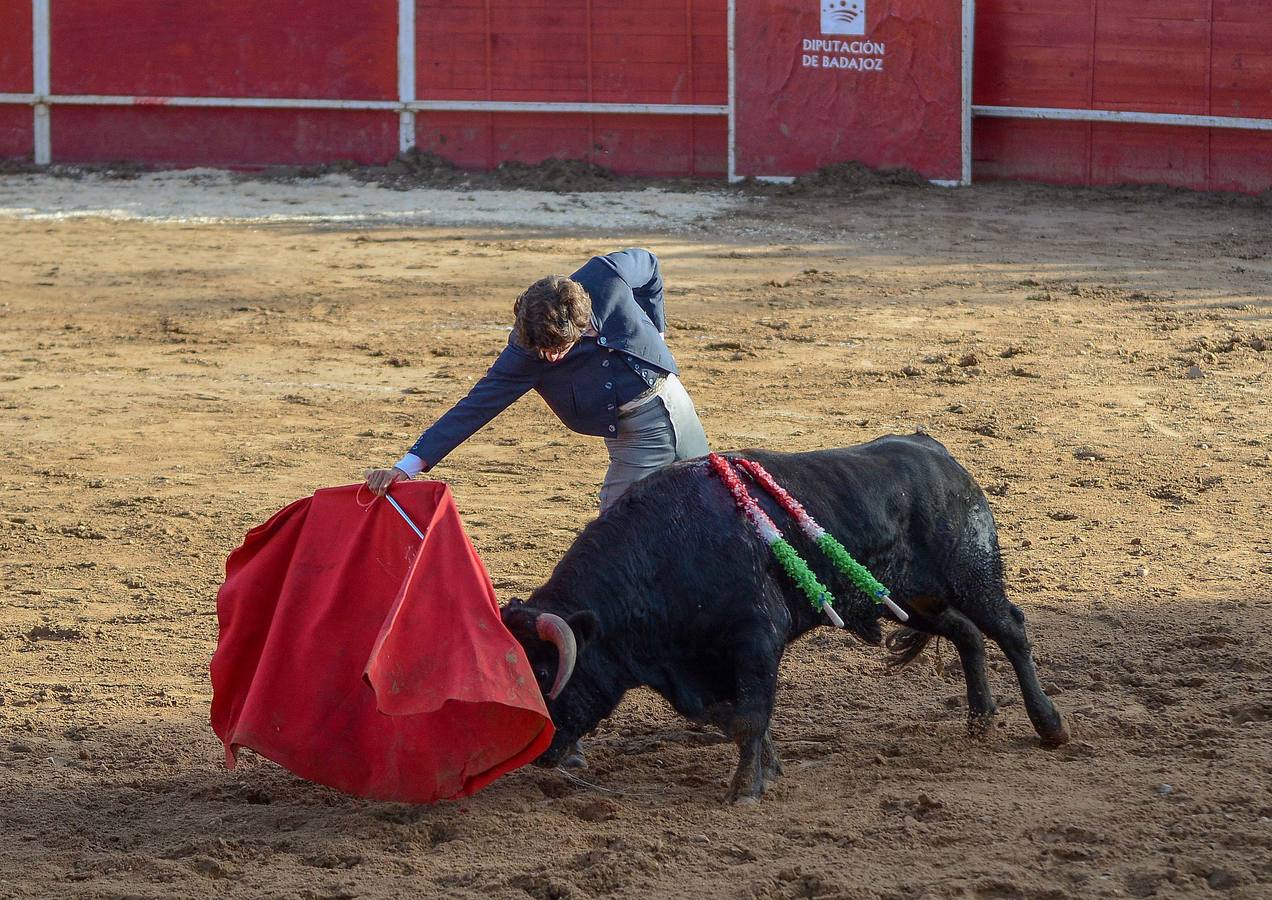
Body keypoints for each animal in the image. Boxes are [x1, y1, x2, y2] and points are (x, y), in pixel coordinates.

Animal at [501, 434, 1068, 803]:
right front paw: (768, 768)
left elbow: (748, 715)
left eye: (546, 671)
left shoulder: (756, 637)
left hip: (974, 578)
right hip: (915, 599)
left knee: (1010, 630)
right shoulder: (698, 669)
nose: (539, 750)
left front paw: (745, 789)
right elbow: (729, 714)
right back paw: (979, 721)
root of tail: (936, 452)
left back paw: (1049, 726)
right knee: (967, 634)